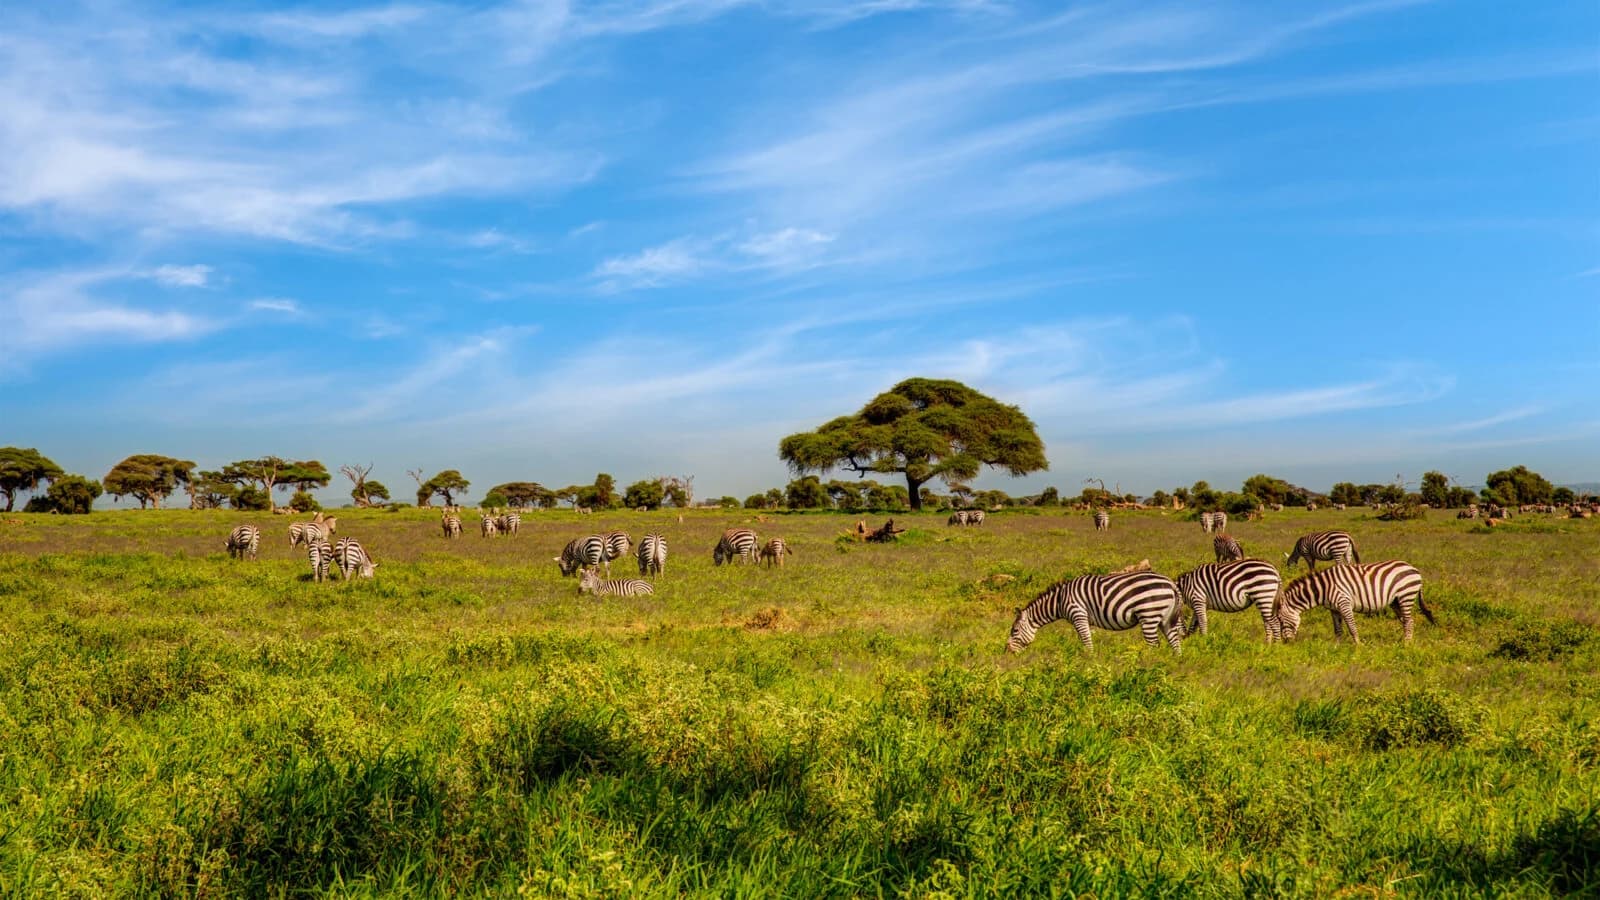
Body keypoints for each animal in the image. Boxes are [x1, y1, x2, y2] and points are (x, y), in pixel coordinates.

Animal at [1007, 571, 1183, 653]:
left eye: (1014, 631)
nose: (1007, 652)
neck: (1060, 600)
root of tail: (1170, 584)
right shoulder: (1081, 619)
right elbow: (1084, 640)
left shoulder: (1078, 614)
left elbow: (1086, 641)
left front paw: (1088, 662)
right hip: (1166, 618)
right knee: (1175, 642)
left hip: (1149, 614)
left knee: (1153, 644)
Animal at [1276, 561, 1433, 644]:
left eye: (1281, 621)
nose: (1286, 642)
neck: (1324, 587)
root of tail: (1414, 568)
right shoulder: (1333, 609)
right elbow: (1338, 629)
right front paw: (1337, 647)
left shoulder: (1344, 603)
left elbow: (1351, 626)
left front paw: (1358, 646)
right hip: (1396, 601)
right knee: (1405, 620)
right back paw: (1403, 641)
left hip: (1406, 595)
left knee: (1409, 620)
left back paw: (1407, 644)